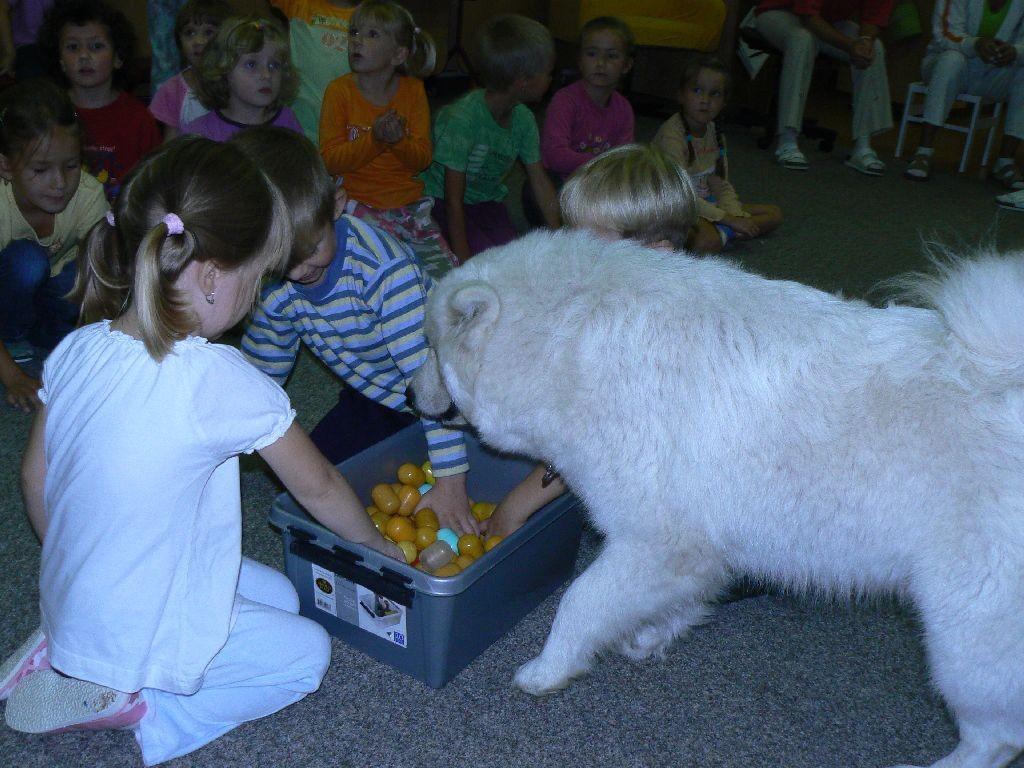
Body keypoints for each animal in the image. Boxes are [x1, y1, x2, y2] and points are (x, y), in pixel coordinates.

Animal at [403, 231, 1024, 768]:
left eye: (431, 348)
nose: (408, 395)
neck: (563, 348)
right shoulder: (694, 548)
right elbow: (674, 598)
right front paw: (652, 636)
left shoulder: (652, 538)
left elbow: (580, 602)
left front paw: (545, 671)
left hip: (967, 628)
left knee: (993, 740)